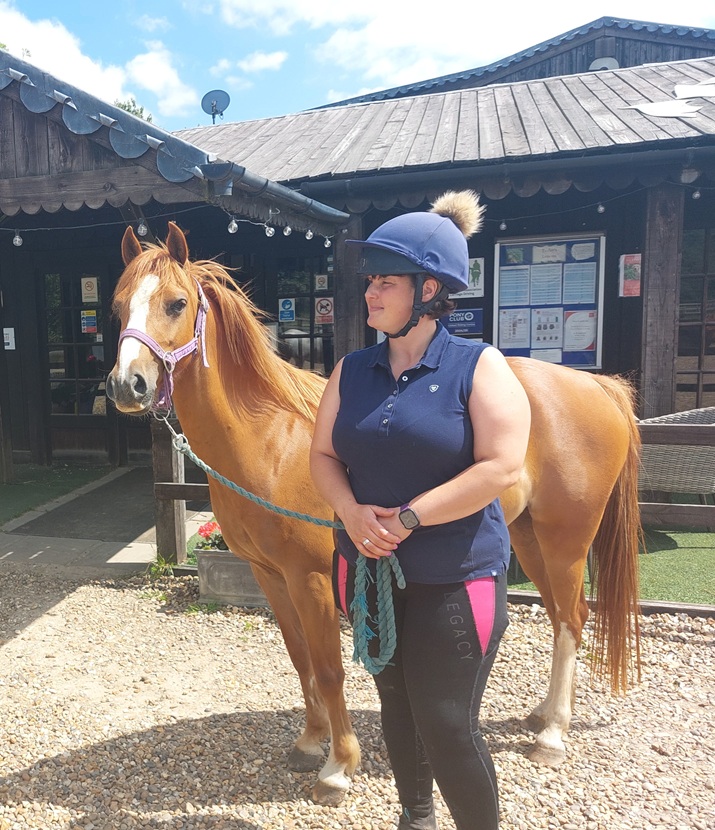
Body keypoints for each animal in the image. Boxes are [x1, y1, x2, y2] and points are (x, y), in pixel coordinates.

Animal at [106, 222, 641, 802]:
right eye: (118, 306)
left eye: (176, 303)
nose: (127, 385)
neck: (269, 439)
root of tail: (597, 385)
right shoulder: (269, 574)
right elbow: (300, 660)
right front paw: (309, 742)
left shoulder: (311, 577)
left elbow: (329, 669)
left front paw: (339, 765)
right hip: (528, 537)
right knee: (564, 614)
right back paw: (542, 714)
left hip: (566, 540)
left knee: (572, 618)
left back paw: (552, 735)